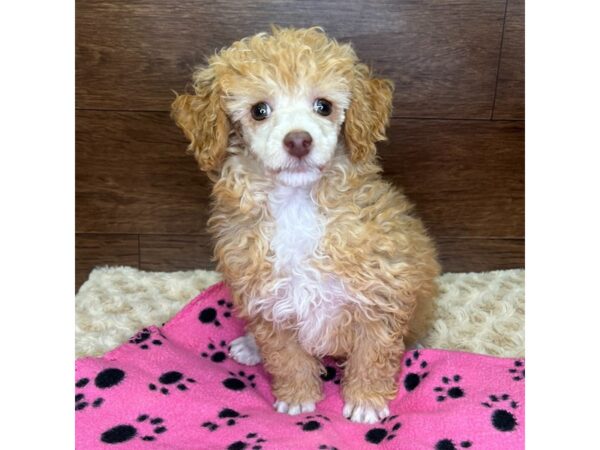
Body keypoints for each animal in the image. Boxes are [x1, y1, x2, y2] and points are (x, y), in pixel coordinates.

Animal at [171, 26, 438, 424]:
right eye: (259, 111)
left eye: (323, 106)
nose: (298, 140)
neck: (297, 205)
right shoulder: (268, 298)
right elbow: (286, 357)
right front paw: (298, 397)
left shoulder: (380, 292)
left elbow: (372, 352)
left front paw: (366, 401)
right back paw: (249, 346)